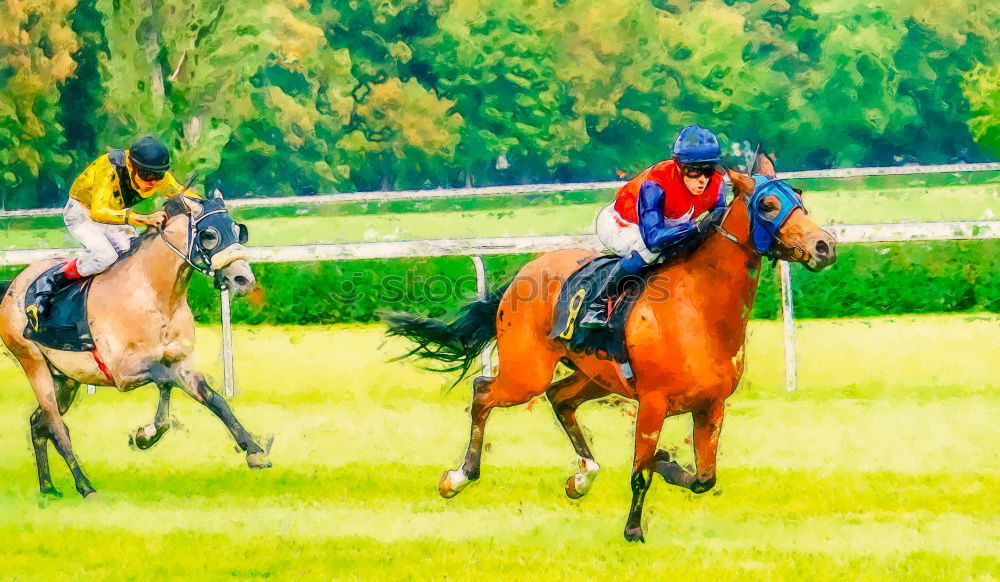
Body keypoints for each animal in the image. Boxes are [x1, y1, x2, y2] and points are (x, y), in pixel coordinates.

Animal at [0, 194, 270, 500]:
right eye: (210, 234)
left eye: (238, 231)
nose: (243, 279)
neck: (154, 295)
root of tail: (16, 283)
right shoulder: (124, 373)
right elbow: (166, 379)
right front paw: (145, 435)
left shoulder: (177, 360)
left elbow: (212, 399)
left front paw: (254, 451)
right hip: (32, 361)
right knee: (56, 425)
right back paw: (84, 486)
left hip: (66, 378)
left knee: (38, 422)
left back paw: (48, 487)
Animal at [386, 157, 840, 544]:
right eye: (767, 204)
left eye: (799, 197)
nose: (824, 246)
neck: (699, 309)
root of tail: (522, 274)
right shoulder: (653, 402)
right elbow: (641, 474)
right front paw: (634, 529)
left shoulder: (711, 405)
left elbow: (703, 478)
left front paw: (666, 460)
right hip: (526, 372)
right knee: (484, 391)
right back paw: (459, 477)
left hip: (596, 376)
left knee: (560, 397)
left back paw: (582, 476)